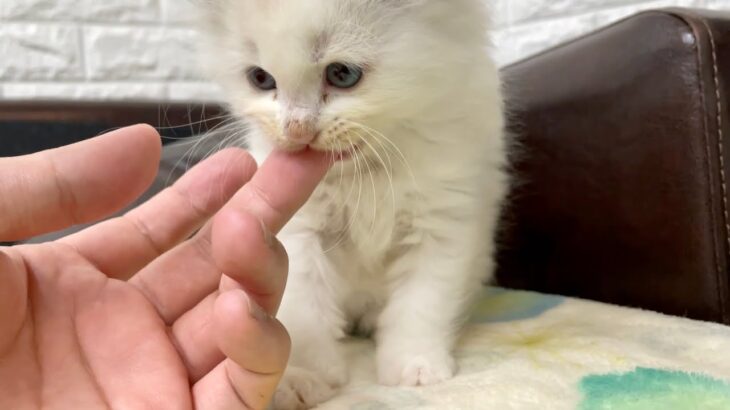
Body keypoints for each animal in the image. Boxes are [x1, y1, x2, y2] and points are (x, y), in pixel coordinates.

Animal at [198, 1, 506, 408]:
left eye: (342, 74)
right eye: (261, 79)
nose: (297, 130)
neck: (368, 171)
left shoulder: (443, 218)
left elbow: (423, 301)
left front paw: (416, 366)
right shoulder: (300, 229)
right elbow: (305, 309)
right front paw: (306, 376)